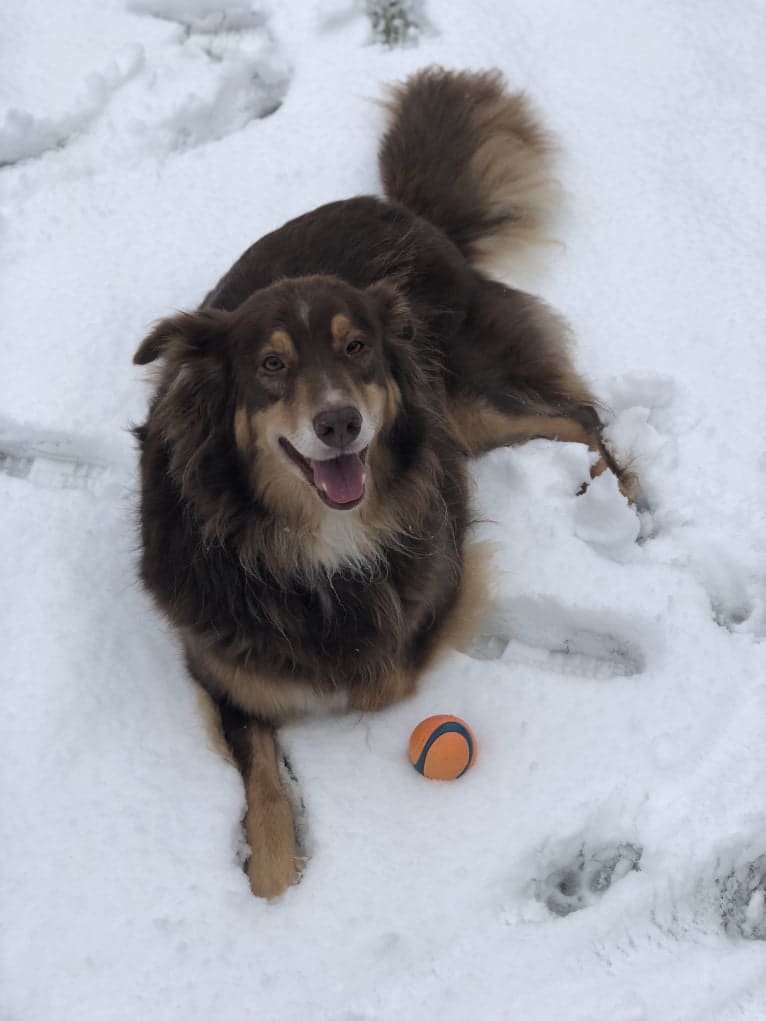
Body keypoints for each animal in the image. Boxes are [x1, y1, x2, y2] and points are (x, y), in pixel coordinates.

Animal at [133, 67, 637, 898]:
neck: (308, 536)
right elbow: (261, 779)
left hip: (461, 401)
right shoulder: (220, 668)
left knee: (582, 415)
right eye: (271, 365)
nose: (340, 422)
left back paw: (618, 500)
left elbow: (378, 673)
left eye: (356, 347)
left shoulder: (424, 610)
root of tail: (408, 211)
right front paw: (274, 881)